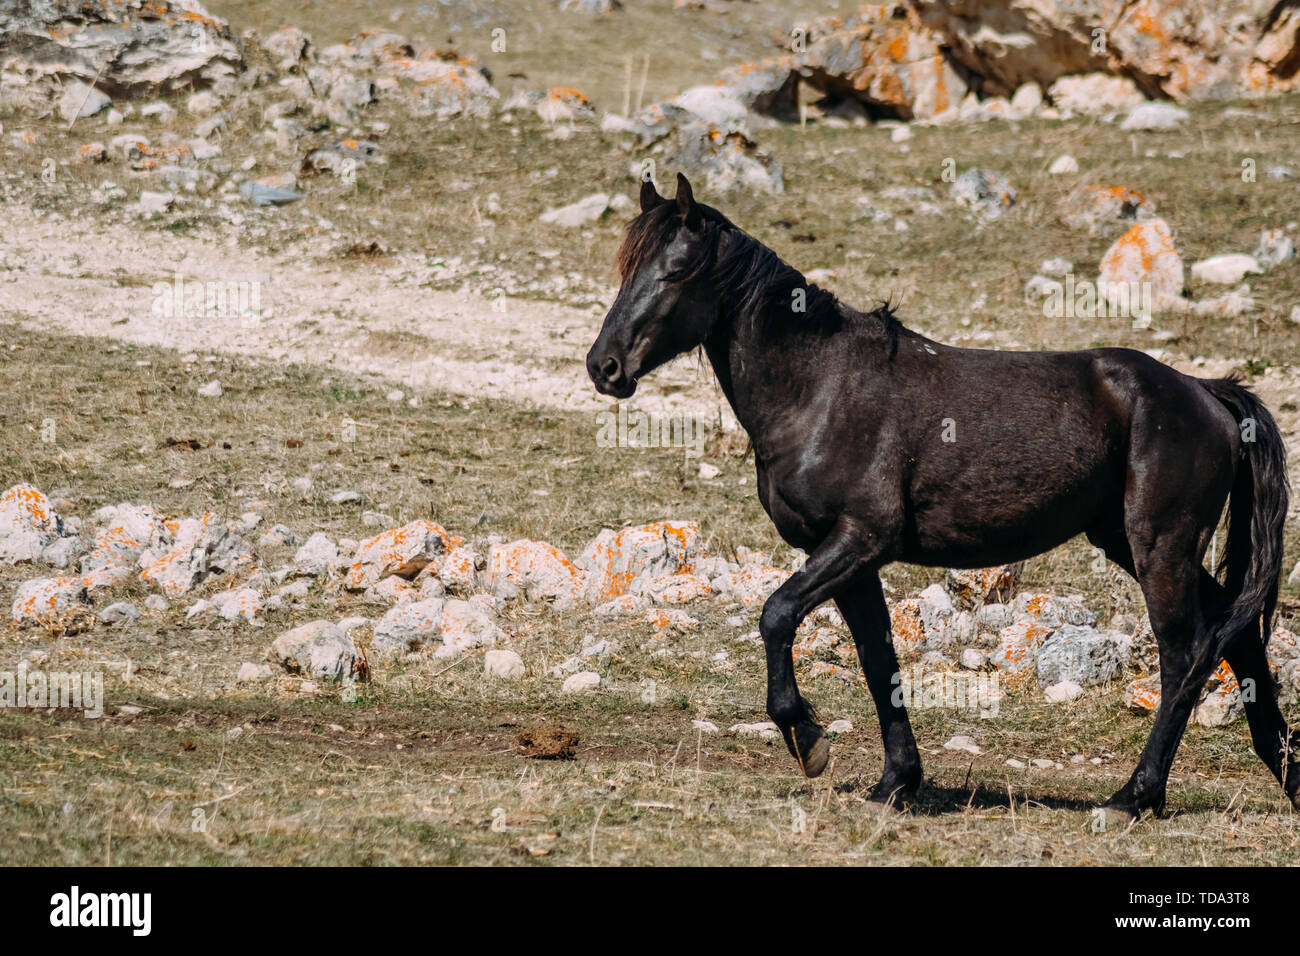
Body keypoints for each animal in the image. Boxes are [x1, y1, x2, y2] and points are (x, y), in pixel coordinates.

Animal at [586, 173, 1295, 822]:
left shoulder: (860, 540)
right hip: (1124, 540)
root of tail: (1206, 392)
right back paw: (1286, 771)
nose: (604, 366)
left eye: (677, 271)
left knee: (1185, 656)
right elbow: (878, 663)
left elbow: (776, 615)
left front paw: (808, 740)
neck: (820, 388)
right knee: (1235, 635)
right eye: (628, 269)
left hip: (1160, 548)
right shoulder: (850, 561)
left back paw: (1133, 797)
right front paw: (896, 782)